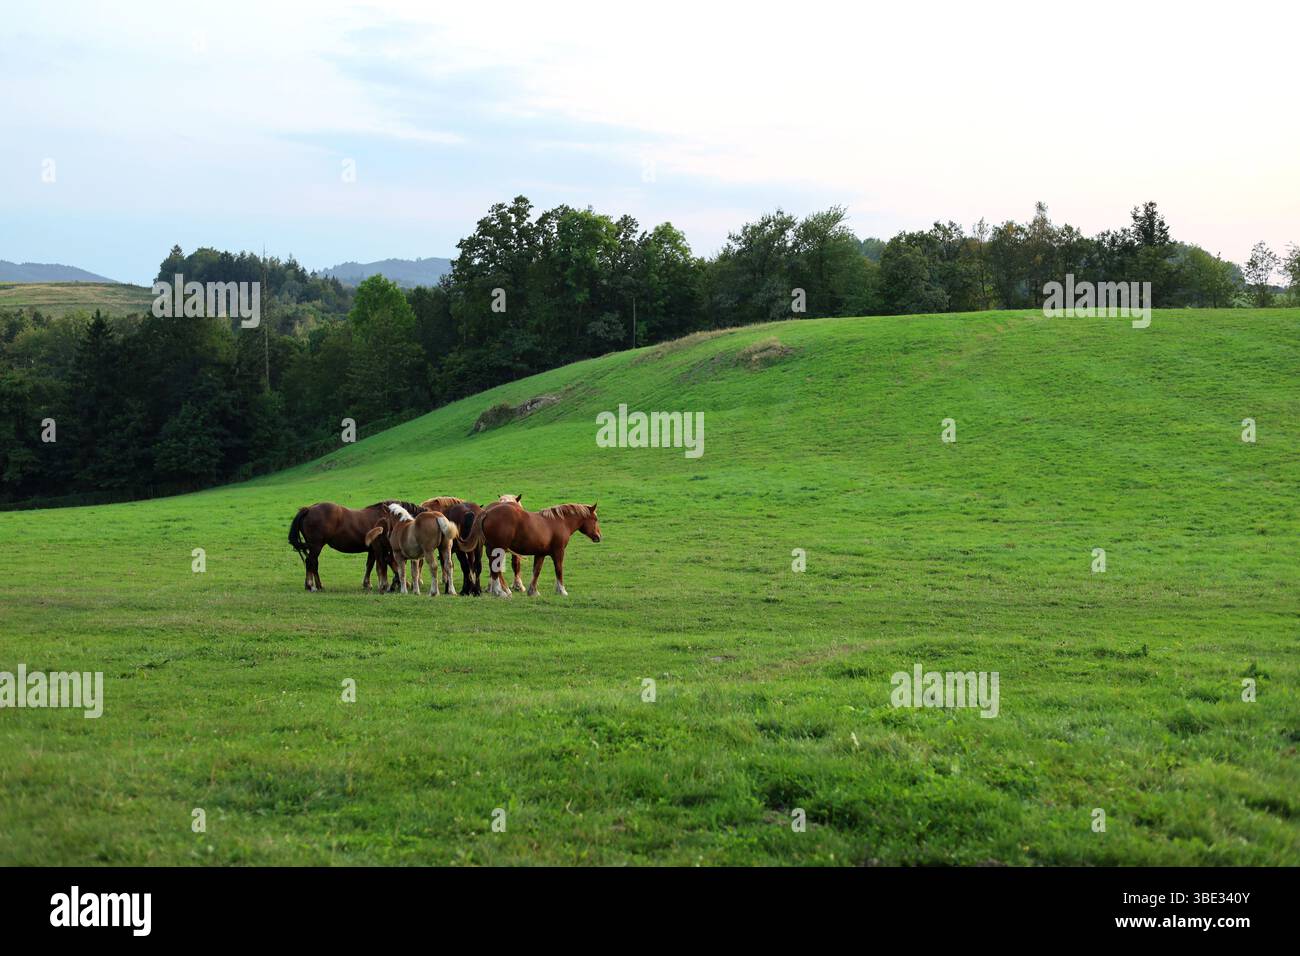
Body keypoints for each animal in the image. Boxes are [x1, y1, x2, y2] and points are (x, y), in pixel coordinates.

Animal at [288, 500, 420, 591]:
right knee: (311, 562)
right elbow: (384, 564)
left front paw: (368, 583)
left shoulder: (372, 550)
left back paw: (315, 585)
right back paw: (311, 585)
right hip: (316, 546)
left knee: (312, 563)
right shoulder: (378, 548)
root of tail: (308, 509)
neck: (389, 517)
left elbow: (371, 565)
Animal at [458, 500, 601, 597]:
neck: (559, 522)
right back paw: (500, 591)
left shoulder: (540, 554)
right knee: (495, 568)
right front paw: (562, 590)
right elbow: (559, 570)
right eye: (595, 519)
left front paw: (533, 591)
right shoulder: (558, 552)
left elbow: (536, 571)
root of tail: (487, 512)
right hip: (499, 549)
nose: (599, 536)